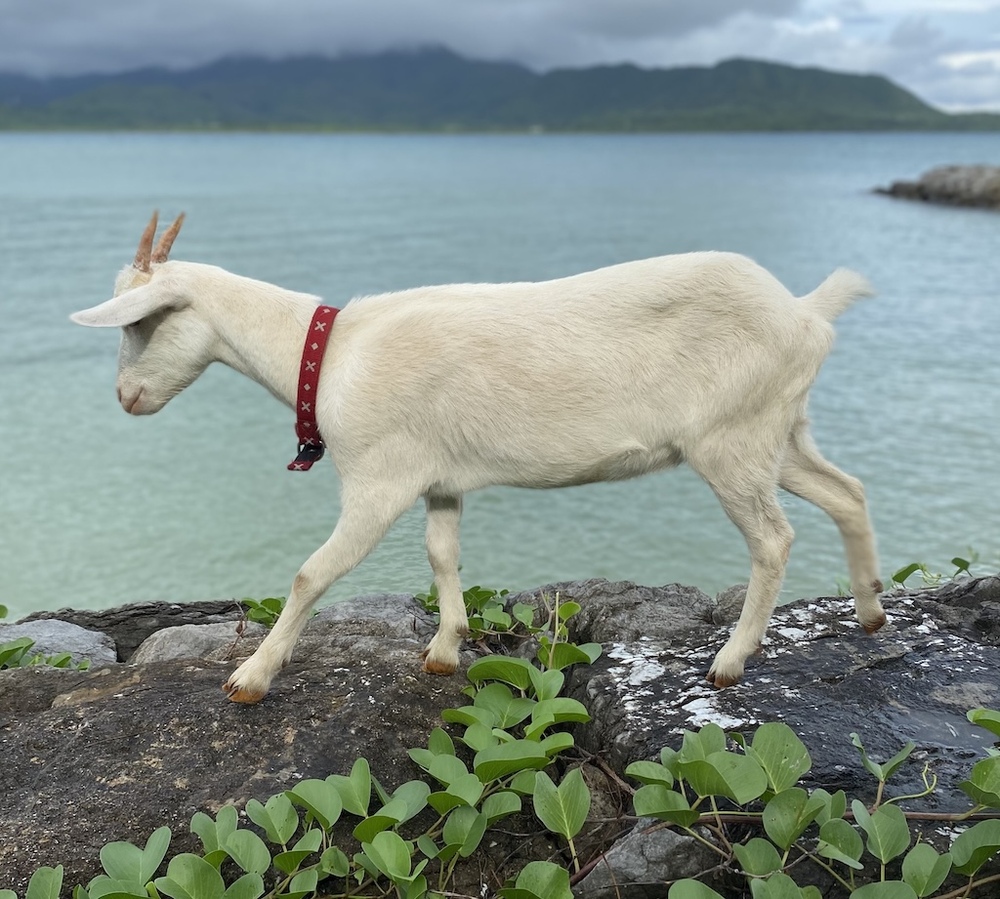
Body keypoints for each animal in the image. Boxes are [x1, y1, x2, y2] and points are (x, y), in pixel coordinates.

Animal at [70, 213, 884, 704]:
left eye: (140, 324)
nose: (125, 397)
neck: (328, 351)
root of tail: (806, 312)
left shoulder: (379, 479)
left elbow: (313, 572)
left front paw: (251, 676)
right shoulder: (438, 478)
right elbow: (442, 554)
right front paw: (444, 648)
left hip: (731, 439)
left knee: (773, 538)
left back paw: (732, 659)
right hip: (779, 429)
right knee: (847, 491)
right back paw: (872, 609)